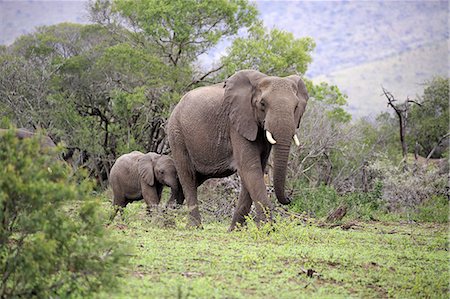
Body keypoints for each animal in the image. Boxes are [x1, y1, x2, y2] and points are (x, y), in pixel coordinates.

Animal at [169, 69, 310, 230]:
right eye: (262, 104)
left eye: (296, 107)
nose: (288, 199)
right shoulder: (236, 123)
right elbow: (250, 168)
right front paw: (268, 230)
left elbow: (256, 170)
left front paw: (235, 231)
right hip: (177, 133)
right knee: (188, 176)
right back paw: (193, 227)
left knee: (193, 179)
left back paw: (162, 216)